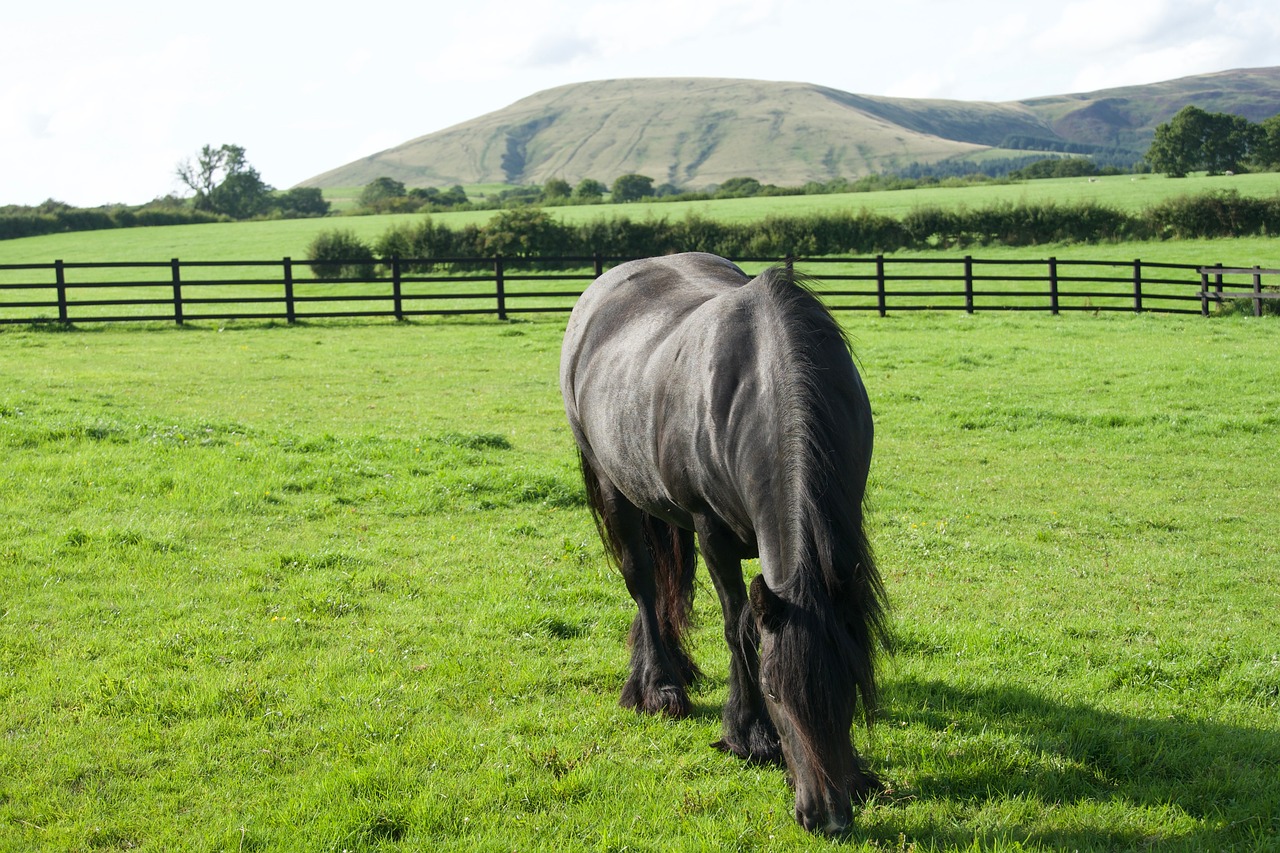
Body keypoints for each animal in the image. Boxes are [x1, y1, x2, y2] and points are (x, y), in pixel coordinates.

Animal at [559, 252, 890, 835]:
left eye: (850, 685)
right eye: (775, 692)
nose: (826, 819)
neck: (768, 382)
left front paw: (857, 771)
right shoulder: (711, 533)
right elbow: (740, 628)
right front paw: (750, 735)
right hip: (612, 486)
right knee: (642, 583)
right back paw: (659, 688)